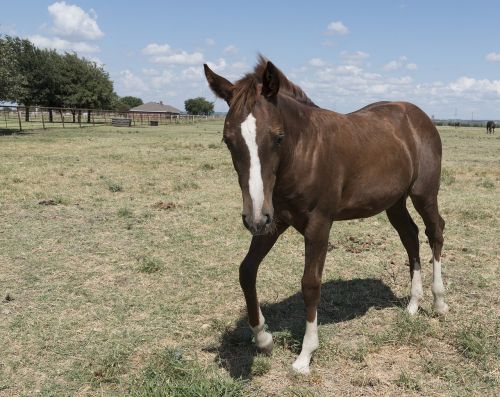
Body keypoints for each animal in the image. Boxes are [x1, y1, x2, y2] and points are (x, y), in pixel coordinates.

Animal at [203, 57, 450, 372]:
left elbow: (310, 283)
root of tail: (419, 116)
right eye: (228, 140)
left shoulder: (318, 225)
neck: (304, 153)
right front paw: (263, 338)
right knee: (411, 236)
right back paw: (413, 305)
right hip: (394, 202)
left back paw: (439, 302)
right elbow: (246, 271)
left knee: (435, 232)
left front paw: (305, 356)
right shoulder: (275, 221)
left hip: (424, 194)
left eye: (278, 137)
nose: (254, 219)